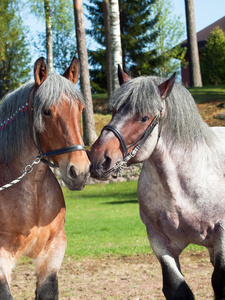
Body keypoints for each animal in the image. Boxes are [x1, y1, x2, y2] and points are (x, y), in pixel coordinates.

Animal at [90, 67, 225, 298]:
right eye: (114, 110)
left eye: (144, 118)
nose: (99, 159)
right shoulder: (159, 241)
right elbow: (176, 287)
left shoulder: (222, 237)